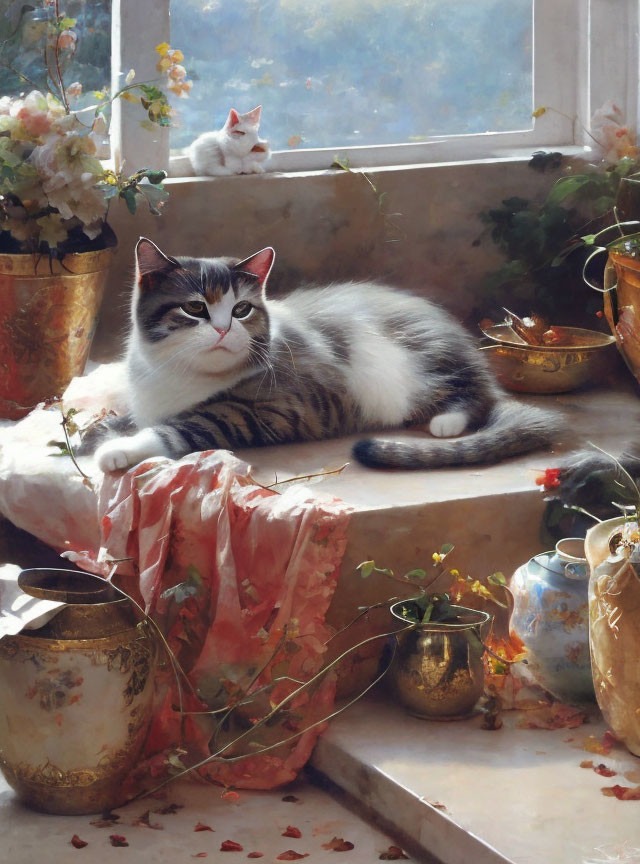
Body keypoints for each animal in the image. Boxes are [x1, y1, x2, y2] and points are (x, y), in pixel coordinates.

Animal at [89, 238, 560, 472]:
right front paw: (97, 431)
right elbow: (128, 417)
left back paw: (447, 421)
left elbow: (178, 429)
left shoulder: (262, 411)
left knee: (476, 395)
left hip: (425, 367)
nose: (224, 328)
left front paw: (120, 448)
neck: (179, 375)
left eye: (241, 310)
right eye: (194, 308)